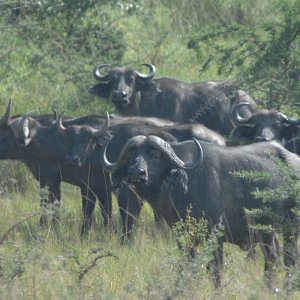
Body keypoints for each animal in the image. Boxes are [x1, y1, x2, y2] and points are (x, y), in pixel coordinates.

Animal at [101, 135, 300, 286]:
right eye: (131, 157)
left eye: (155, 156)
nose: (137, 172)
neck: (184, 187)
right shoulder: (183, 237)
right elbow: (189, 264)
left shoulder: (215, 235)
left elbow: (216, 268)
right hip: (268, 232)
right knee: (277, 257)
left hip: (285, 229)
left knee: (284, 259)